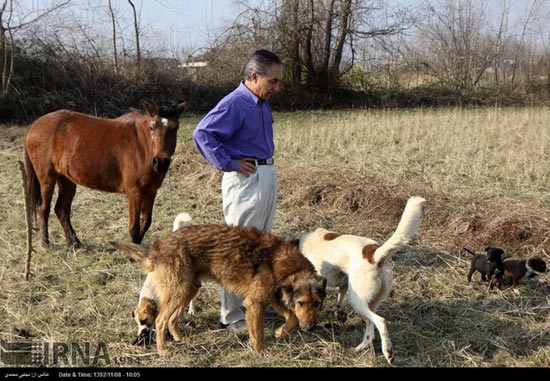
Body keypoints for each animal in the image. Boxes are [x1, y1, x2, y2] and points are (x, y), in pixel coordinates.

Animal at [24, 100, 188, 246]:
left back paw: (74, 244)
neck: (142, 146)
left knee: (61, 209)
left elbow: (146, 222)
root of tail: (35, 125)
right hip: (47, 177)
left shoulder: (151, 191)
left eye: (175, 128)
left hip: (67, 179)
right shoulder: (134, 191)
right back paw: (45, 243)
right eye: (152, 127)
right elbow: (134, 227)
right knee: (44, 208)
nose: (161, 163)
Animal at [112, 224, 328, 354]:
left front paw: (279, 333)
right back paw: (163, 350)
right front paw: (260, 352)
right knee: (160, 321)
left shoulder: (273, 297)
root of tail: (157, 247)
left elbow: (292, 318)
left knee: (172, 320)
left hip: (188, 290)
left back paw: (180, 339)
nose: (310, 328)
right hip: (178, 292)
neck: (278, 261)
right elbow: (258, 333)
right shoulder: (255, 303)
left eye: (318, 304)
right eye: (301, 303)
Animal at [302, 196, 426, 362]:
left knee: (380, 321)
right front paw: (339, 314)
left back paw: (388, 351)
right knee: (370, 331)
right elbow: (338, 301)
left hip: (357, 301)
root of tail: (374, 254)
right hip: (369, 302)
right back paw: (361, 347)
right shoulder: (343, 284)